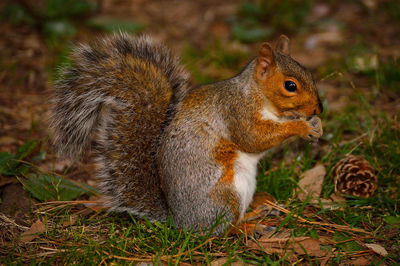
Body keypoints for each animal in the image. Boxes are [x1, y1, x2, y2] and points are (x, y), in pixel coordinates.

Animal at [51, 32, 324, 235]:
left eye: (310, 74)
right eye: (290, 85)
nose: (318, 108)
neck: (258, 94)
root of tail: (180, 222)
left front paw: (314, 124)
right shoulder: (237, 111)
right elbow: (253, 138)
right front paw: (301, 126)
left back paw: (258, 213)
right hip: (224, 197)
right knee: (222, 230)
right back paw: (250, 226)